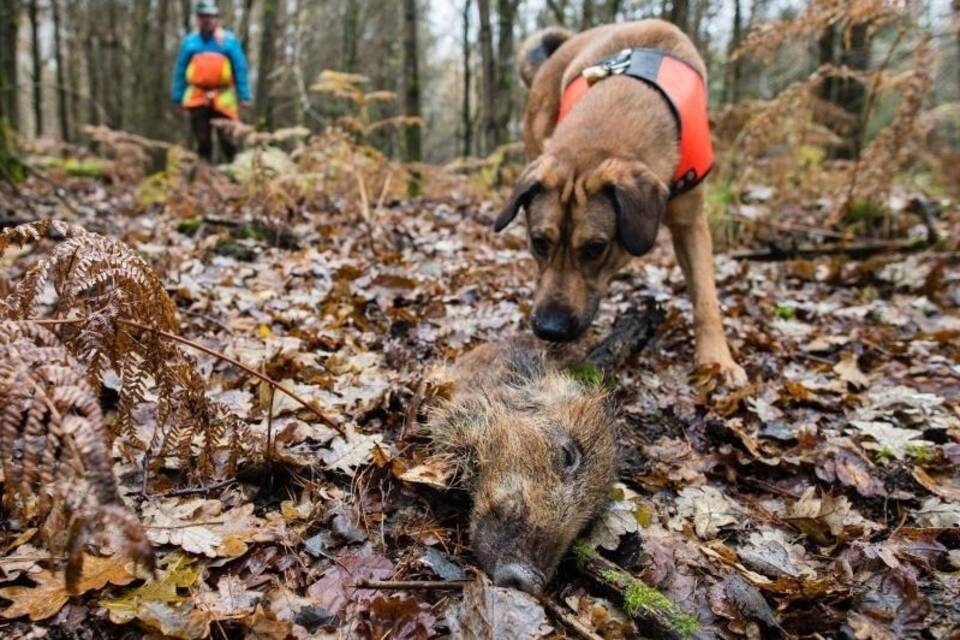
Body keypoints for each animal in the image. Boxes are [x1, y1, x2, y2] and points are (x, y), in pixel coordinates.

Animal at [498, 20, 748, 384]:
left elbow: (705, 297)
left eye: (595, 248)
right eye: (539, 243)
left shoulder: (691, 223)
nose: (549, 329)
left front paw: (717, 360)